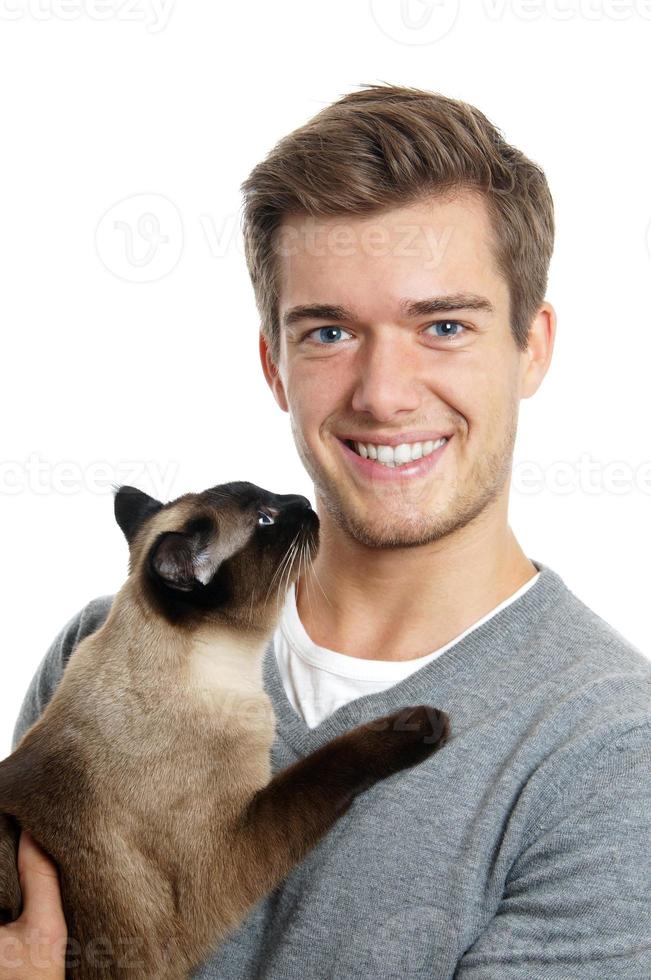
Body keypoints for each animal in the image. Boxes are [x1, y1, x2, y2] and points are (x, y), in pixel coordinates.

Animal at [0, 484, 448, 980]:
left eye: (273, 498)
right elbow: (328, 765)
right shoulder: (226, 856)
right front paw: (424, 724)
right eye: (266, 519)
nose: (304, 501)